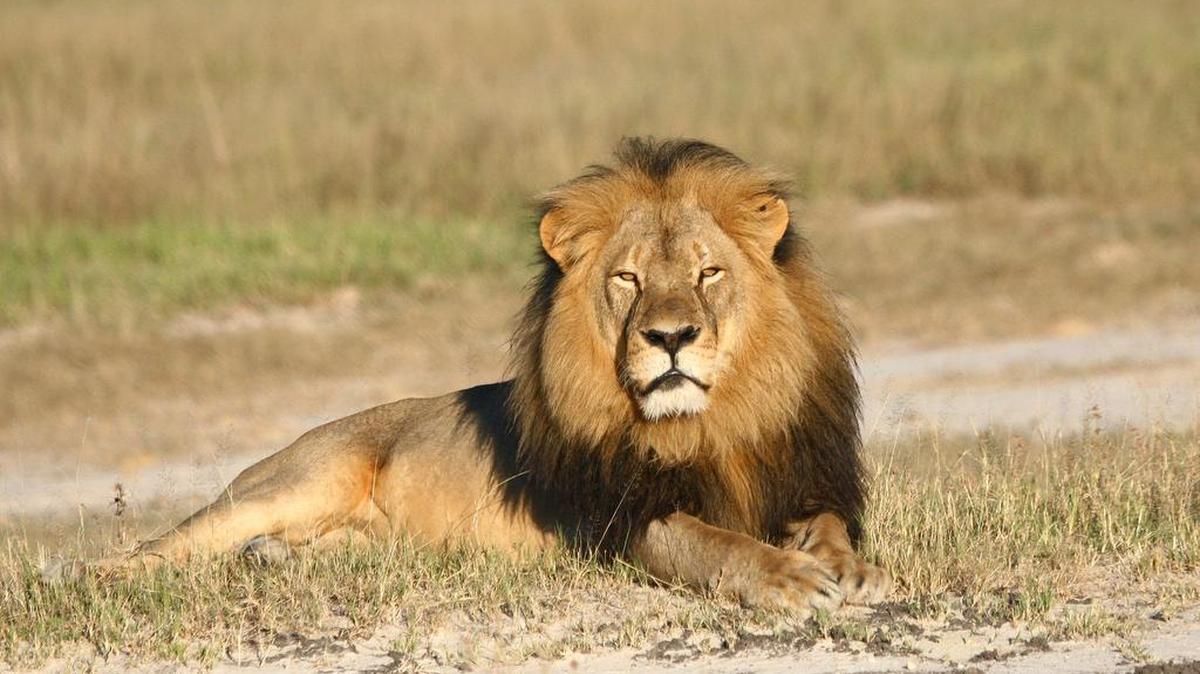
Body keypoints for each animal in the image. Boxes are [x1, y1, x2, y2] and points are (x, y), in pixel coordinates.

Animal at [85, 138, 890, 613]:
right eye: (628, 279)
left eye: (708, 272)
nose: (669, 337)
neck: (708, 424)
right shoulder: (617, 519)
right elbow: (711, 543)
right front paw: (786, 578)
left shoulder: (801, 477)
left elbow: (826, 523)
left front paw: (849, 568)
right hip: (299, 479)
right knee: (163, 545)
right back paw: (102, 580)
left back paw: (270, 561)